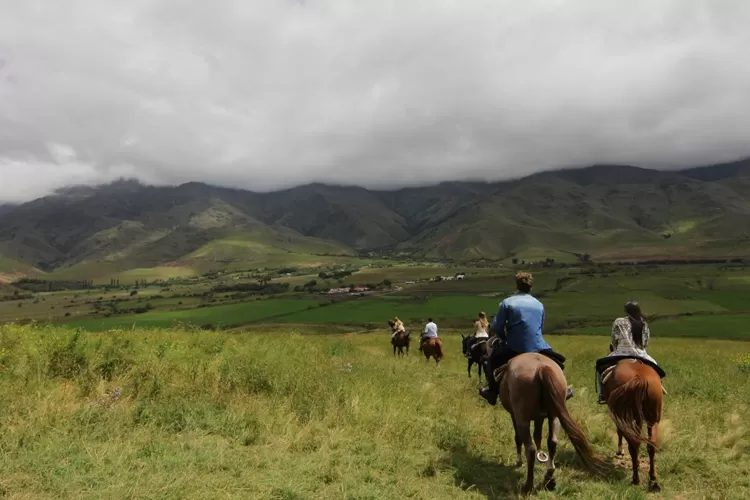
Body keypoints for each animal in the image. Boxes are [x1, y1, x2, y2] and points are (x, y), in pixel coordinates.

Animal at [496, 352, 608, 492]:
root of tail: (540, 367)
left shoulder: (515, 415)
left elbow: (518, 438)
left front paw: (519, 462)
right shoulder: (540, 417)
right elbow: (538, 435)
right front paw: (541, 455)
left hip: (523, 418)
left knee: (530, 449)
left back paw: (528, 485)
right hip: (555, 416)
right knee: (553, 442)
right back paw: (548, 478)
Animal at [604, 360, 668, 492]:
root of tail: (639, 377)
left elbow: (619, 432)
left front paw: (620, 451)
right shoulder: (639, 419)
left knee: (633, 444)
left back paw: (635, 479)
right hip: (653, 420)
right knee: (650, 444)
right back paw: (653, 480)